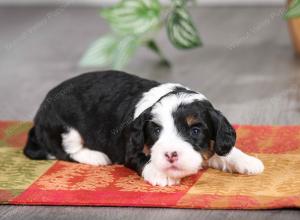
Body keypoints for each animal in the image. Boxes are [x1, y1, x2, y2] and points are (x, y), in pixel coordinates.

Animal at [23, 70, 264, 186]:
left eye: (195, 131)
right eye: (156, 131)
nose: (170, 154)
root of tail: (39, 115)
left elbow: (223, 150)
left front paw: (247, 161)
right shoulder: (130, 148)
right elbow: (144, 159)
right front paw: (161, 174)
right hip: (64, 127)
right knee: (65, 150)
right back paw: (96, 157)